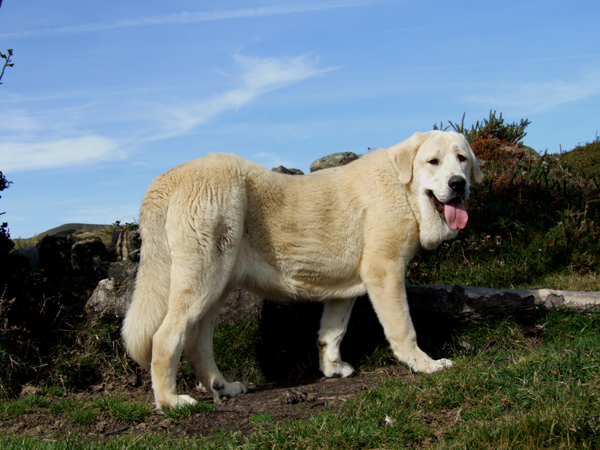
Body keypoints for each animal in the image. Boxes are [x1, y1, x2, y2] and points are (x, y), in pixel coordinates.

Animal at [120, 129, 482, 408]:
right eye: (433, 162)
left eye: (462, 158)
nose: (457, 183)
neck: (402, 187)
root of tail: (170, 176)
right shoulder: (386, 272)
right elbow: (404, 328)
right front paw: (425, 364)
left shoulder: (347, 288)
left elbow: (332, 332)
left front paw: (332, 368)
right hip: (201, 280)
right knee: (166, 337)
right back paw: (169, 401)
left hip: (216, 284)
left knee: (197, 340)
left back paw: (221, 386)